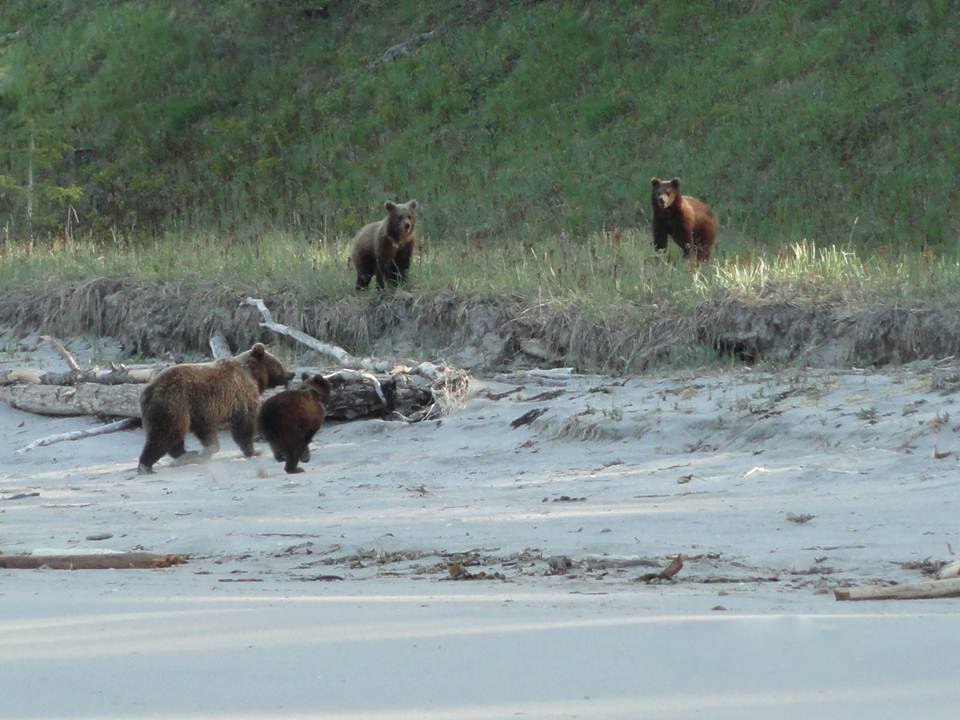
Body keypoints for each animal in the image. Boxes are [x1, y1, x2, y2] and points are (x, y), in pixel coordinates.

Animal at [135, 342, 292, 476]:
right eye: (279, 363)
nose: (291, 374)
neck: (253, 376)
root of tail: (149, 389)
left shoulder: (200, 410)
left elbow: (206, 430)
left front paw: (208, 449)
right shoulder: (241, 396)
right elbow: (244, 424)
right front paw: (253, 451)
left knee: (173, 435)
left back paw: (187, 454)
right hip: (174, 404)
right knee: (166, 433)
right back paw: (146, 466)